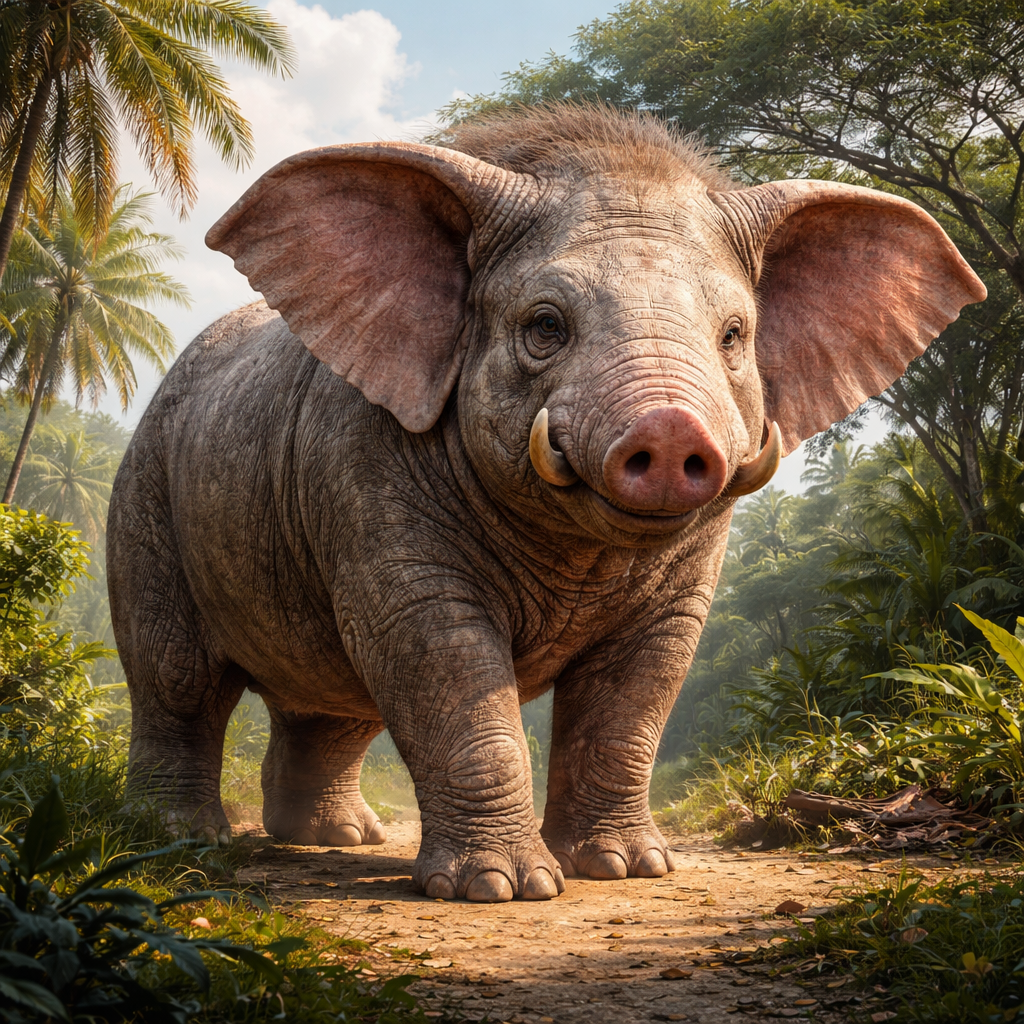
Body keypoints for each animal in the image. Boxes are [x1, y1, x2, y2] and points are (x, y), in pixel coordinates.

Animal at [107, 105, 985, 903]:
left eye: (734, 335)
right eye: (545, 326)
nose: (671, 431)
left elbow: (647, 670)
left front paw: (626, 869)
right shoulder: (360, 457)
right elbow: (429, 643)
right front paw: (501, 888)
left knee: (336, 701)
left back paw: (335, 838)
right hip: (145, 487)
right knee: (176, 673)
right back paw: (175, 835)